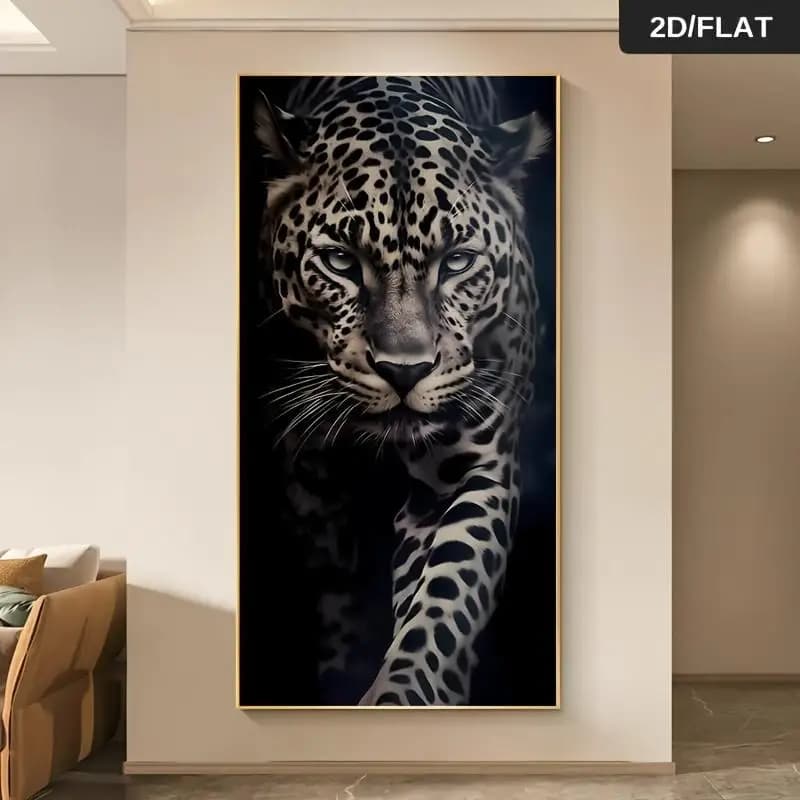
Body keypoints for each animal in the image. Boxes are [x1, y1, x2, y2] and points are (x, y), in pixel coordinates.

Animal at [253, 76, 550, 705]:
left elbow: (443, 602)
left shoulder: (471, 471)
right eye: (340, 261)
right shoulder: (310, 485)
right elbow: (337, 596)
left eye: (457, 261)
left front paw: (404, 693)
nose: (404, 371)